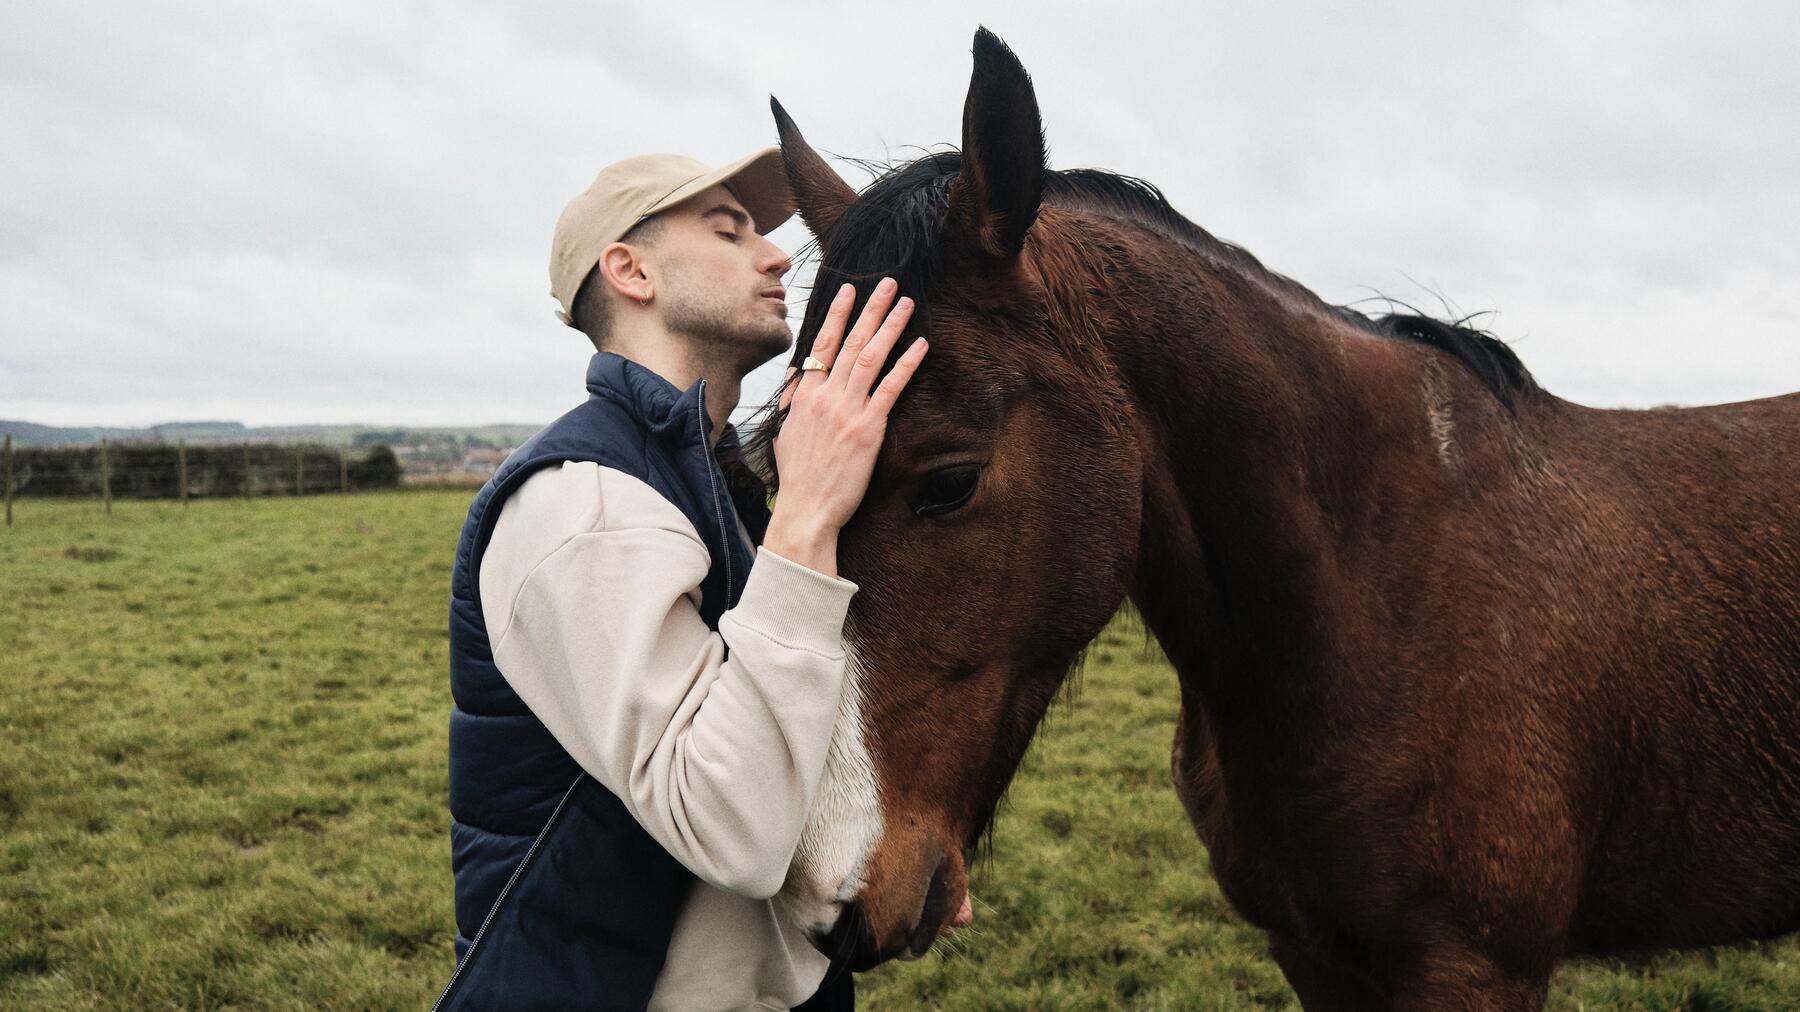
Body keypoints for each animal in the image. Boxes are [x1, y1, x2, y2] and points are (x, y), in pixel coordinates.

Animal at [761, 28, 1800, 1010]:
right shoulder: (1311, 952)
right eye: (778, 463)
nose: (826, 900)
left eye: (949, 481)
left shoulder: (1477, 969)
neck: (1391, 602)